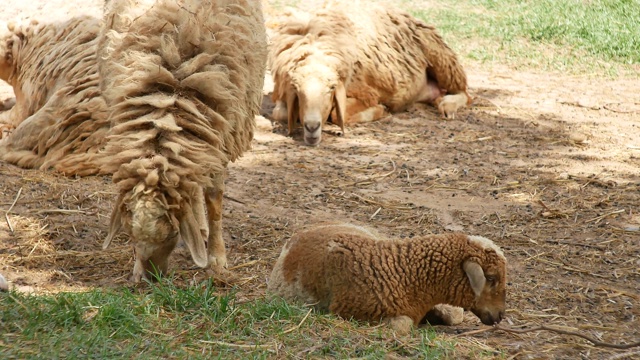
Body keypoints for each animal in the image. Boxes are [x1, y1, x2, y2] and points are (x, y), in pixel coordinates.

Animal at [99, 0, 268, 282]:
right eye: (130, 235)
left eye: (172, 233)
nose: (151, 278)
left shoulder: (221, 137)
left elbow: (215, 201)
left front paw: (217, 258)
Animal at [266, 2, 470, 146]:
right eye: (297, 89)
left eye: (331, 88)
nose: (312, 127)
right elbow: (280, 113)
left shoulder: (366, 92)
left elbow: (337, 115)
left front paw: (380, 109)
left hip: (441, 59)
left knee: (466, 94)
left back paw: (448, 105)